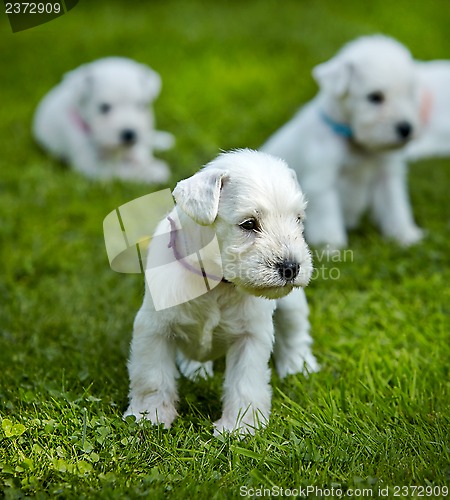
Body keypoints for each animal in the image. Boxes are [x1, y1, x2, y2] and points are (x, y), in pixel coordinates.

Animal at [33, 57, 174, 184]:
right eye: (104, 107)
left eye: (142, 105)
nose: (129, 133)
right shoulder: (93, 166)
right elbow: (122, 170)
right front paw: (153, 172)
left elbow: (139, 152)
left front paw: (144, 161)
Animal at [125, 148, 318, 434]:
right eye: (248, 224)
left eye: (297, 219)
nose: (291, 267)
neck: (215, 282)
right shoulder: (154, 329)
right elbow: (152, 378)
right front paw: (149, 416)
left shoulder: (250, 337)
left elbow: (244, 383)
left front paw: (239, 428)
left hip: (293, 305)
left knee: (296, 332)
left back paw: (299, 366)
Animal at [262, 34, 424, 249]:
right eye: (375, 97)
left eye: (410, 94)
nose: (406, 129)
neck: (357, 142)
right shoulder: (322, 181)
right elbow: (327, 216)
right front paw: (331, 245)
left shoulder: (387, 176)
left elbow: (395, 207)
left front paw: (406, 236)